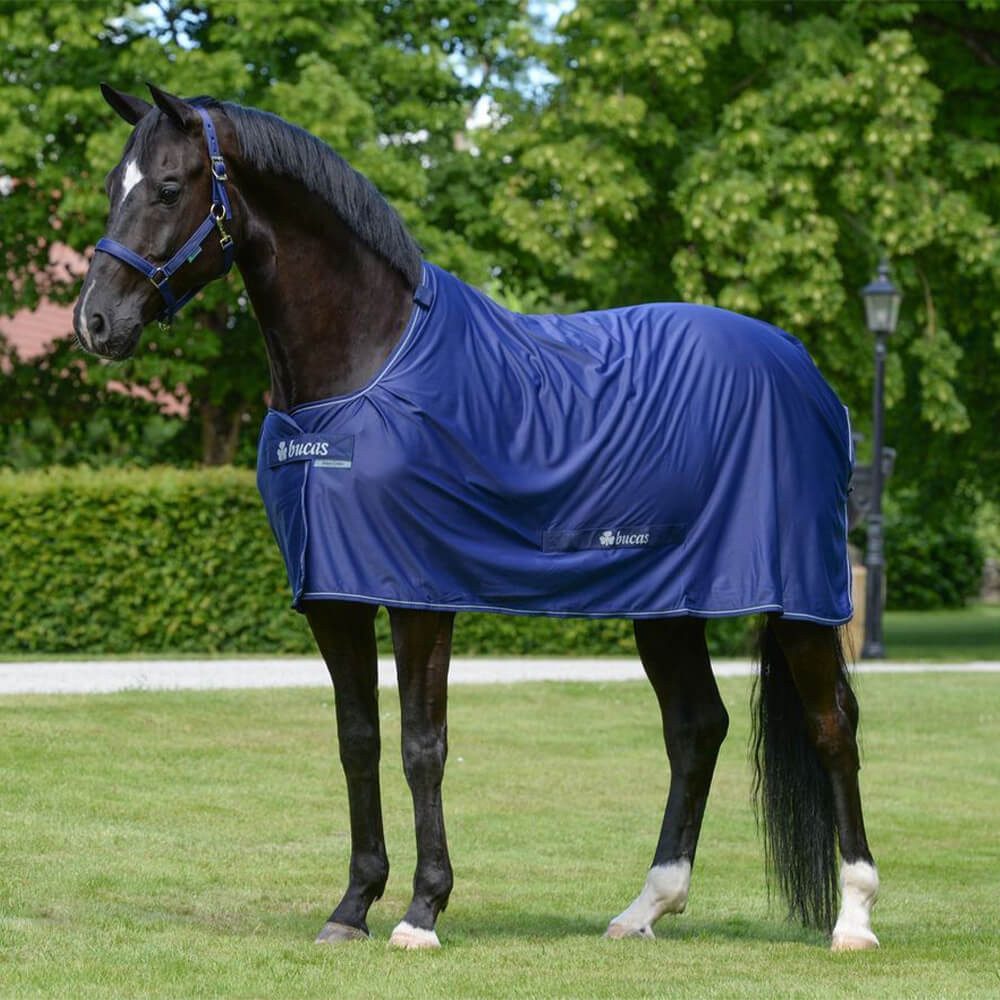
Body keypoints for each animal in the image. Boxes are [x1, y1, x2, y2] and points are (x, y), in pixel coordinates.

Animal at [74, 84, 879, 952]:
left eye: (168, 186)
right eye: (111, 186)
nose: (94, 323)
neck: (365, 367)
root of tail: (803, 369)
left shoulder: (421, 595)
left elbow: (422, 746)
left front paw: (422, 911)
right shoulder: (334, 596)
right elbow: (358, 741)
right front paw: (352, 906)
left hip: (798, 599)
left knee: (832, 725)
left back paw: (854, 916)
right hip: (668, 606)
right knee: (697, 728)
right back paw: (646, 907)